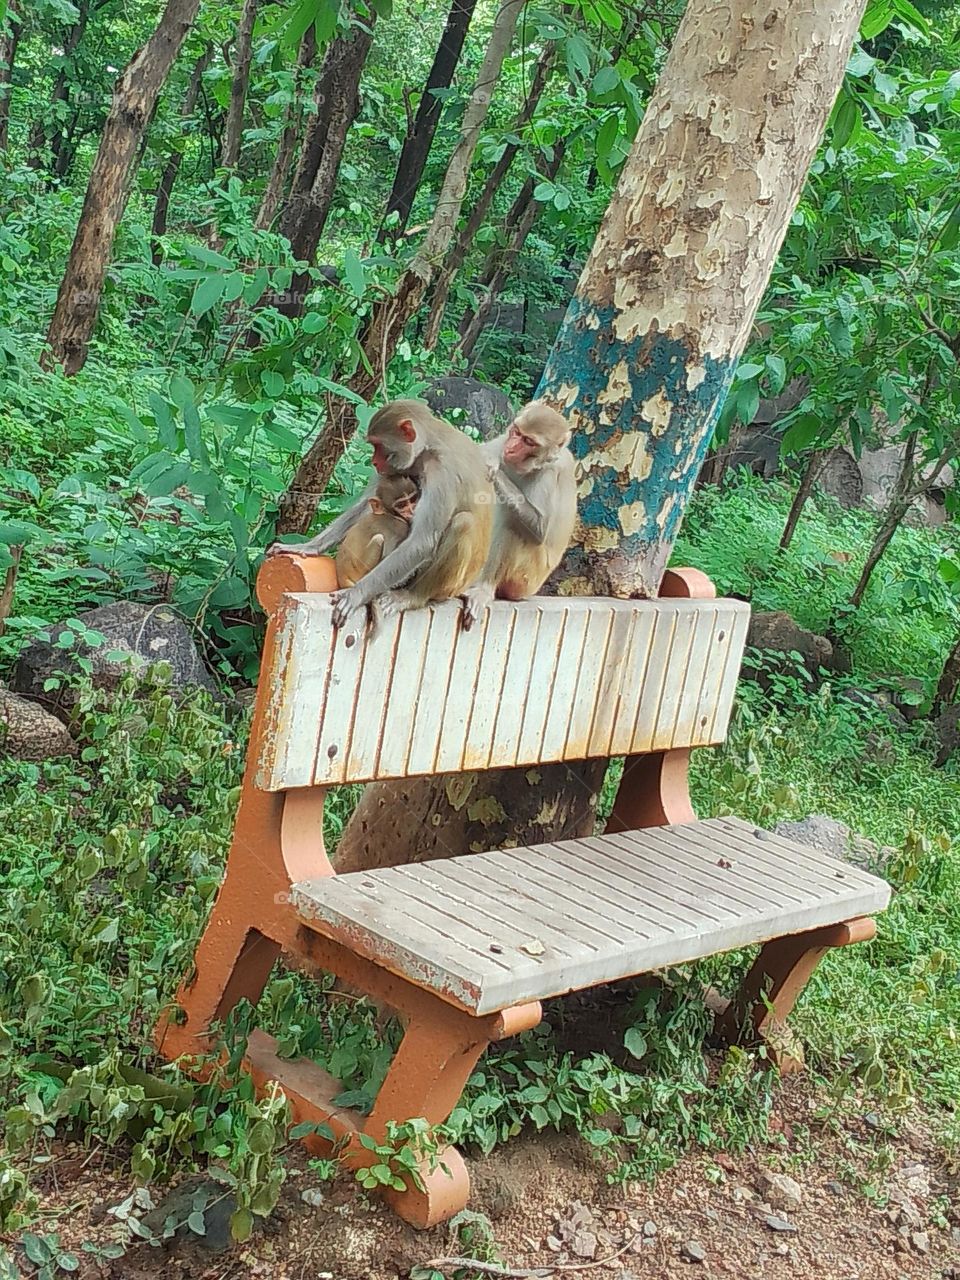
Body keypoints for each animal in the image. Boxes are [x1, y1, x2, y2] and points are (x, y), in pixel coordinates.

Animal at [268, 400, 494, 630]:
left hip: (453, 585)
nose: (374, 462)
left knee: (463, 522)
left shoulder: (441, 472)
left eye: (378, 445)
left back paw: (412, 596)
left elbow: (423, 541)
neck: (427, 448)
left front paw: (356, 594)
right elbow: (370, 502)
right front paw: (308, 547)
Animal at [462, 400, 577, 624]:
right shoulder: (500, 442)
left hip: (526, 580)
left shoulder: (550, 472)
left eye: (529, 441)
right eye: (516, 432)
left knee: (512, 525)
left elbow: (540, 529)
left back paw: (483, 589)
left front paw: (490, 464)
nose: (512, 447)